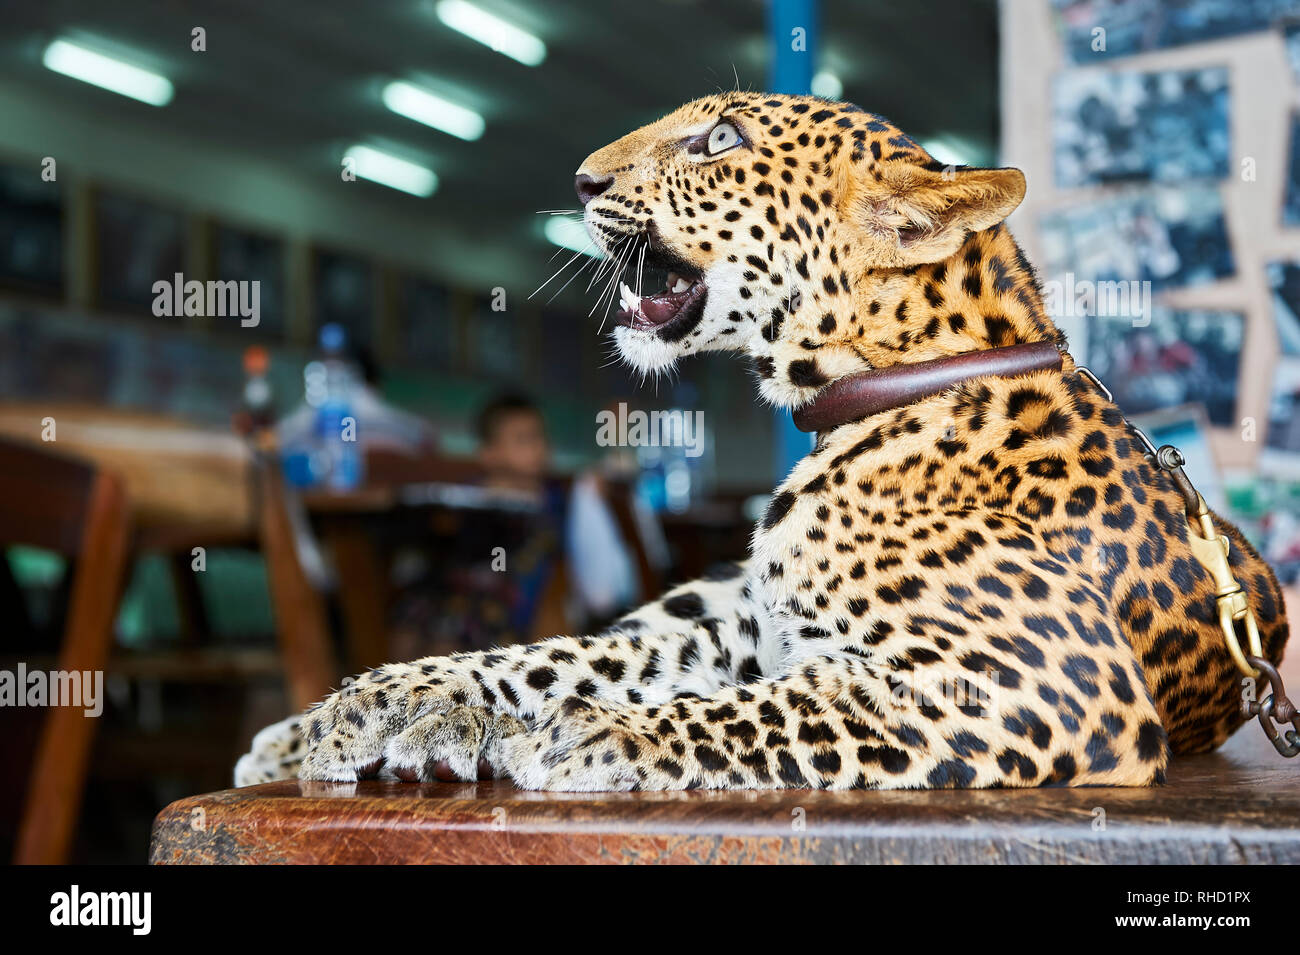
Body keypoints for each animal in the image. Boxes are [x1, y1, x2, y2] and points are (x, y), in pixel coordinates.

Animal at [236, 91, 1289, 789]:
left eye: (721, 140)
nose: (580, 180)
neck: (886, 385)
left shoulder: (1042, 682)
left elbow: (755, 710)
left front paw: (586, 733)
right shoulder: (742, 626)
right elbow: (559, 655)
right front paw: (391, 696)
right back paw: (301, 732)